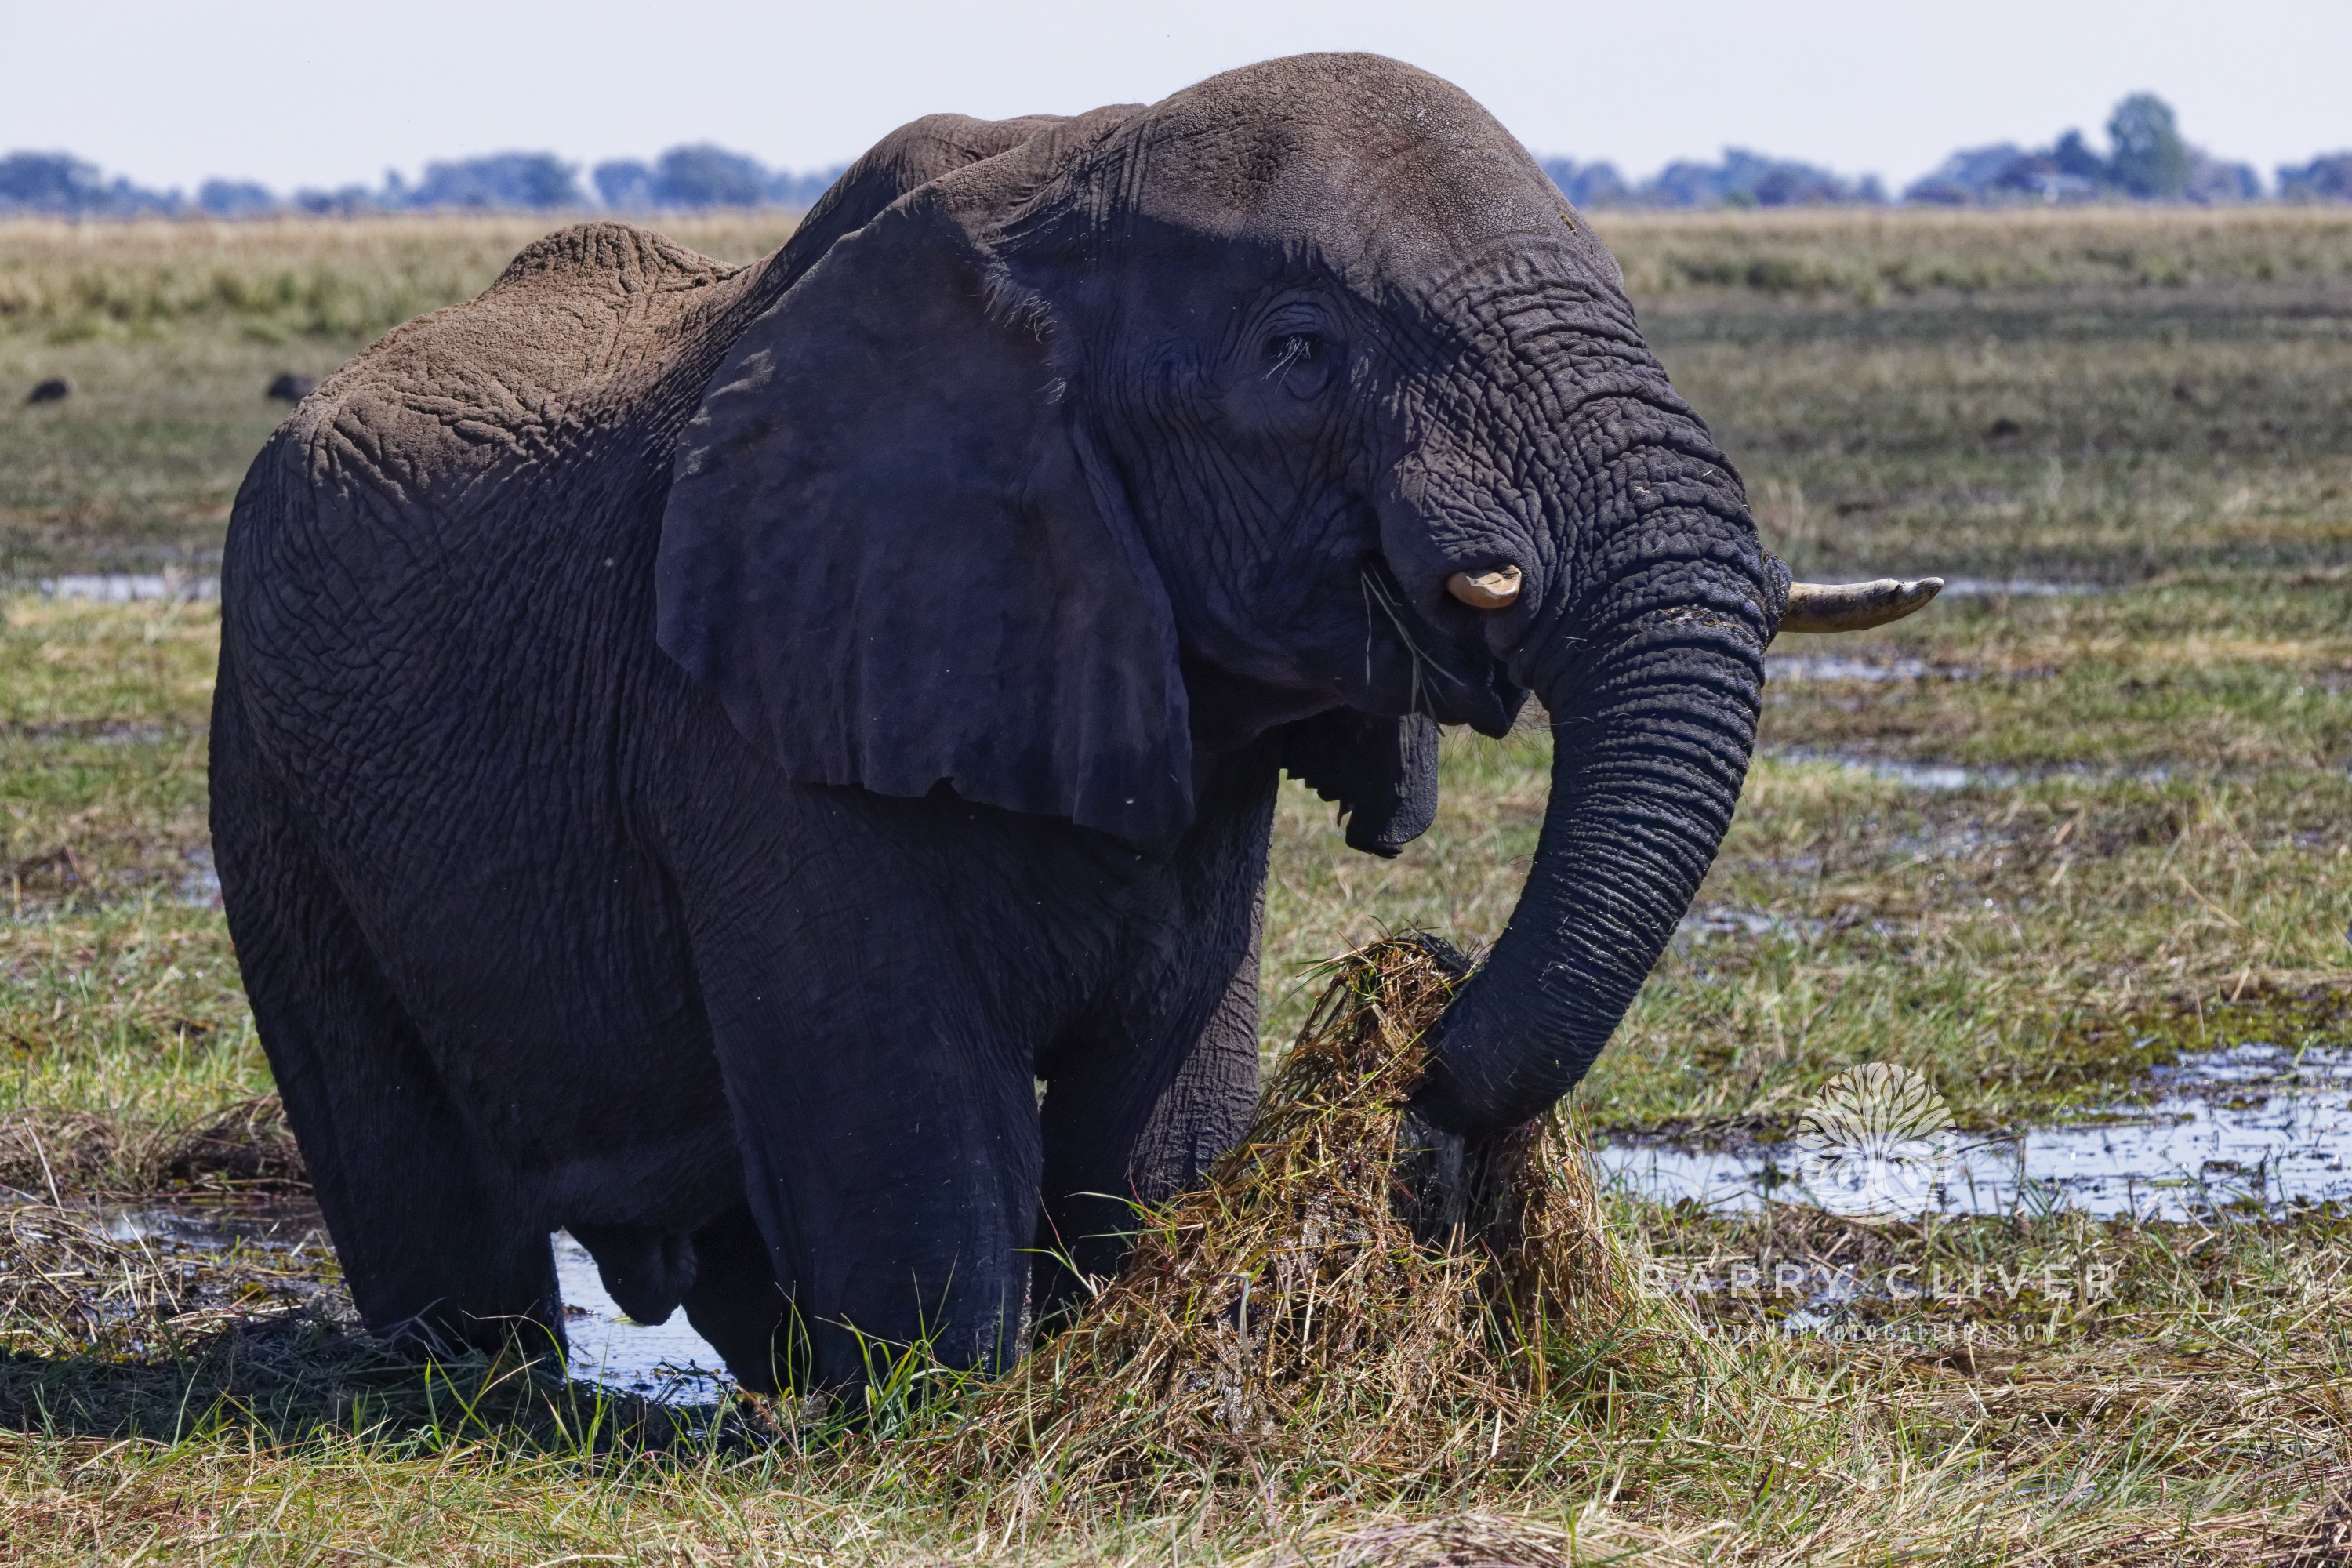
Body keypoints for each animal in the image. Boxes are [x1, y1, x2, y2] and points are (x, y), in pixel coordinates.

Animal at [210, 53, 1934, 1392]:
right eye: (1299, 353)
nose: (1426, 1078)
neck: (1061, 182)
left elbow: (1159, 1111)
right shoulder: (756, 710)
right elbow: (913, 1123)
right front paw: (950, 1417)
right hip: (271, 774)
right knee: (426, 1193)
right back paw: (485, 1391)